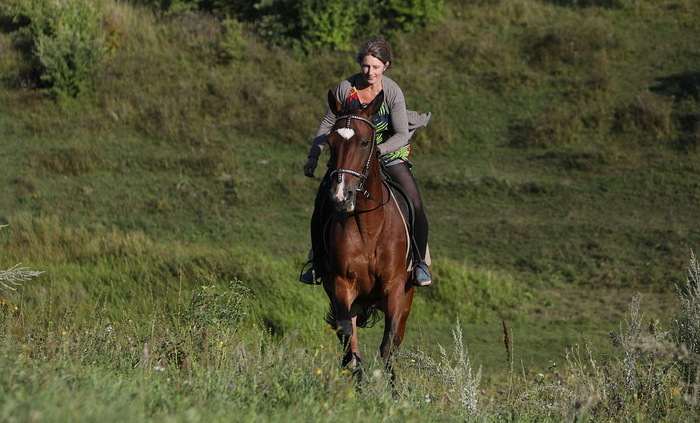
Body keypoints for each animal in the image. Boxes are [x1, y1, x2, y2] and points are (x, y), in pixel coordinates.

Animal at [320, 89, 415, 384]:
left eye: (364, 142)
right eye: (330, 142)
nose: (341, 196)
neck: (369, 226)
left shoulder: (395, 288)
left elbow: (388, 345)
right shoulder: (341, 285)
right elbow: (349, 342)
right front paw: (359, 383)